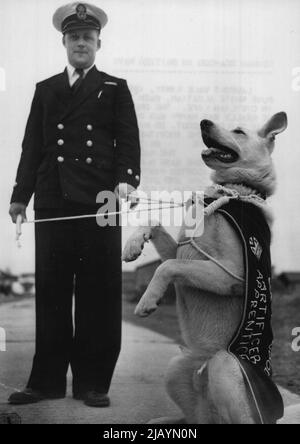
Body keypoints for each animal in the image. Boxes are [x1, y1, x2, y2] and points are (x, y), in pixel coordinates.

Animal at [122, 111, 300, 424]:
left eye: (238, 131)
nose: (203, 122)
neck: (232, 193)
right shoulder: (183, 249)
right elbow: (154, 225)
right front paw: (133, 244)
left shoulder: (232, 275)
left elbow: (167, 266)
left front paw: (147, 300)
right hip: (176, 367)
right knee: (195, 419)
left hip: (224, 366)